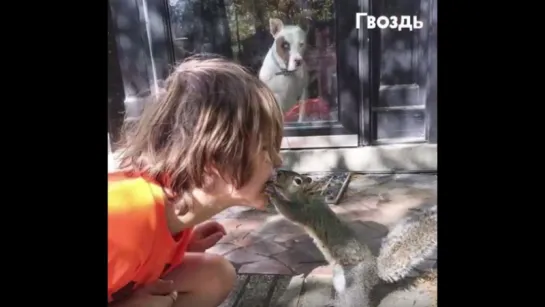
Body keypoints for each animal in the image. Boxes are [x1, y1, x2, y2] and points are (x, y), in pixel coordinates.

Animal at [266, 171, 436, 307]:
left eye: (297, 180)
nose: (277, 173)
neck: (308, 196)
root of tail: (374, 272)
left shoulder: (305, 211)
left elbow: (289, 212)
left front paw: (272, 192)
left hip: (355, 282)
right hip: (340, 280)